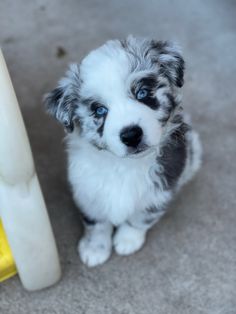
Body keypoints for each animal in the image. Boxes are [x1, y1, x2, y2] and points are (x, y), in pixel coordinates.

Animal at [45, 36, 202, 268]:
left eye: (142, 93)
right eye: (99, 110)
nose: (131, 135)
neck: (124, 165)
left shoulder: (161, 189)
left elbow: (140, 218)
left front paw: (128, 240)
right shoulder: (87, 191)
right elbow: (96, 224)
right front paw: (95, 249)